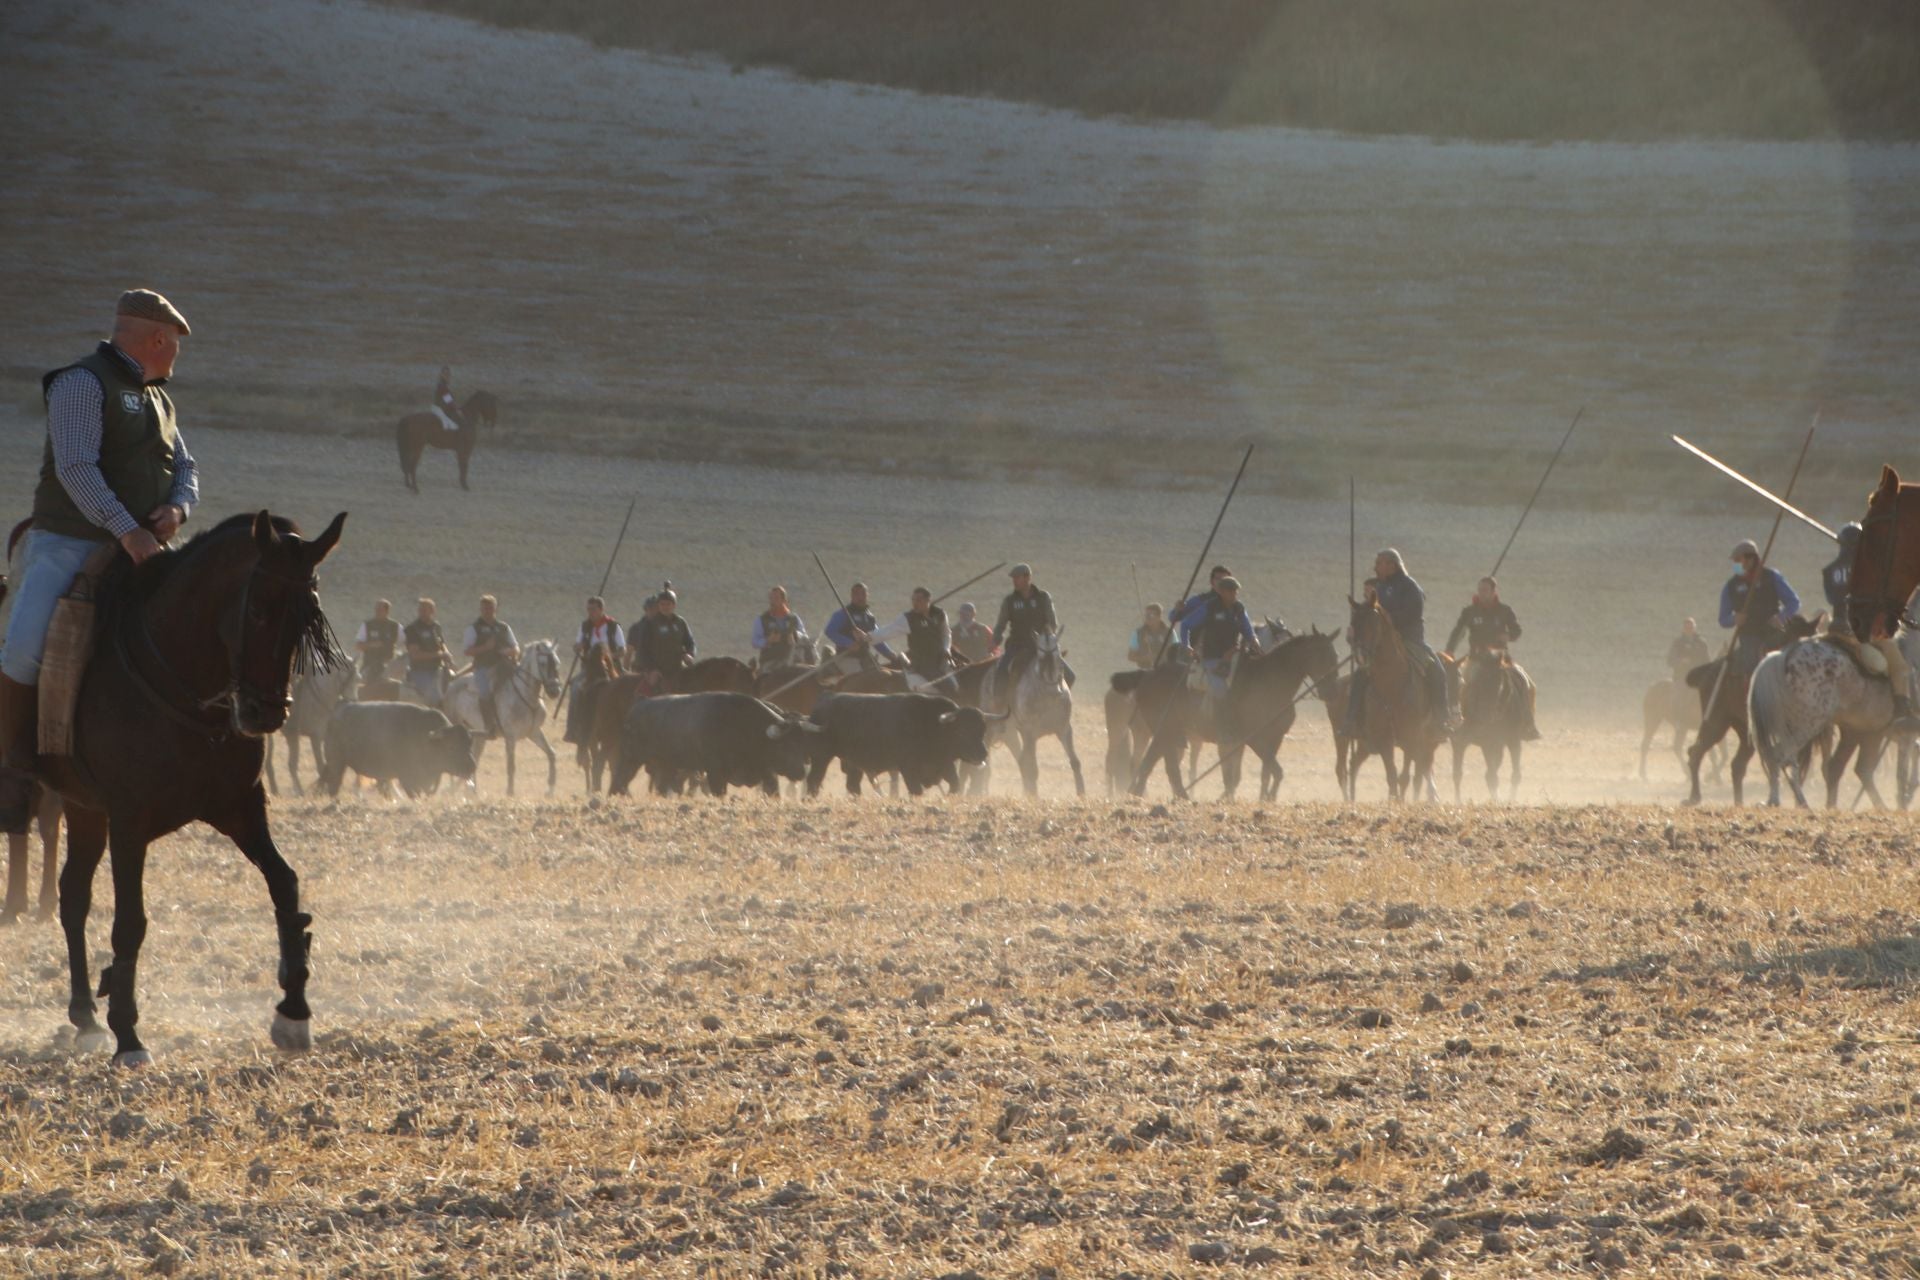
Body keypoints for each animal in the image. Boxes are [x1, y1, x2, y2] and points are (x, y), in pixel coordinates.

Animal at [40, 506, 349, 1059]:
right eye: (258, 610)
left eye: (307, 616)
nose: (265, 714)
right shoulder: (128, 821)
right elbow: (130, 922)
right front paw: (128, 1033)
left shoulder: (239, 807)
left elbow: (285, 884)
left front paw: (293, 1009)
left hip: (82, 808)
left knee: (73, 895)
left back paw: (84, 1016)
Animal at [447, 644, 560, 794]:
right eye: (543, 663)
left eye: (557, 663)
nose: (555, 691)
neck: (526, 696)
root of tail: (451, 685)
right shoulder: (511, 736)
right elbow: (511, 765)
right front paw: (510, 792)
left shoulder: (534, 732)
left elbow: (551, 754)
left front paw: (550, 789)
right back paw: (454, 788)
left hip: (477, 736)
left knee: (473, 757)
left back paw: (470, 789)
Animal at [1751, 633, 1912, 809]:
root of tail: (1783, 655)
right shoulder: (1898, 736)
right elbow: (1903, 774)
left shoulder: (1872, 734)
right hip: (1808, 725)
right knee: (1781, 755)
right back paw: (1786, 800)